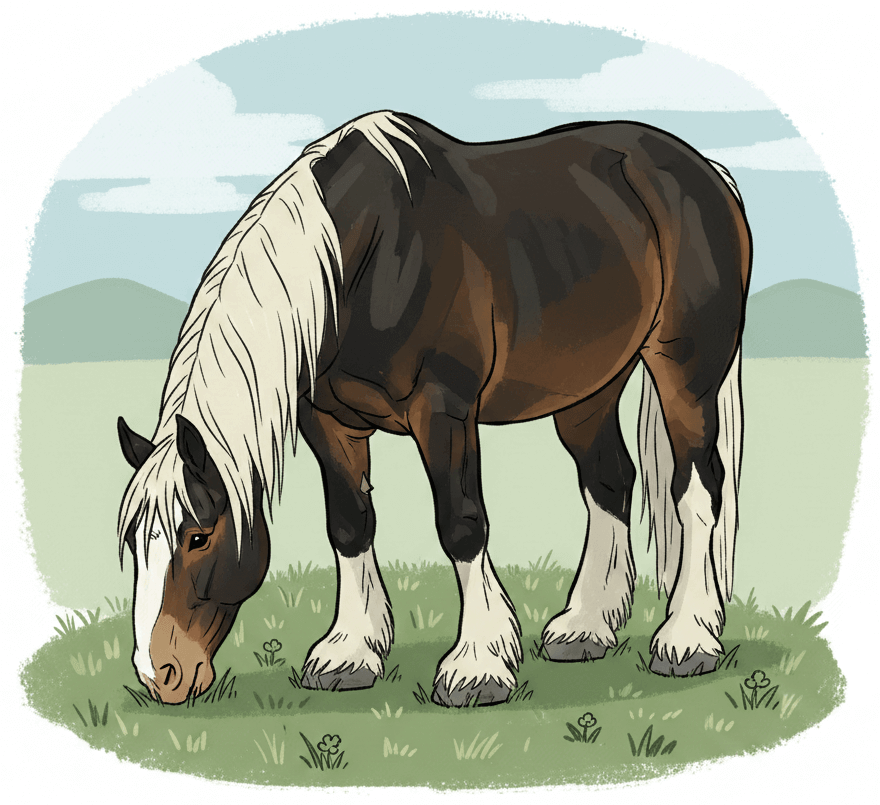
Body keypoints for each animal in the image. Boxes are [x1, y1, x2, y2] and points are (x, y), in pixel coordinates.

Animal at [116, 110, 750, 706]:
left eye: (198, 537)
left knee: (697, 488)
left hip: (684, 373)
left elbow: (461, 525)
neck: (362, 259)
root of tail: (706, 171)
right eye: (132, 543)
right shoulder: (328, 422)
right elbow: (349, 524)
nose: (160, 675)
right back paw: (587, 628)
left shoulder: (443, 412)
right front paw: (350, 653)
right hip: (588, 387)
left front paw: (478, 666)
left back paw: (688, 637)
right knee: (609, 482)